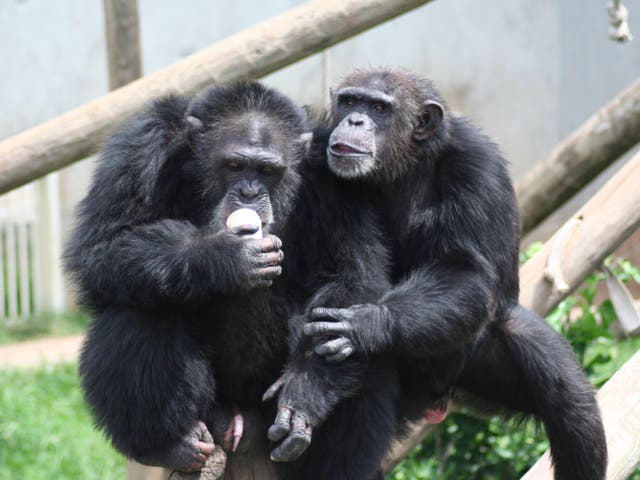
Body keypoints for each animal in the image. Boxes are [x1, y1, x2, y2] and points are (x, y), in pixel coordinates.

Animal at [65, 80, 396, 478]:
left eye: (267, 170)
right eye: (234, 165)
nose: (250, 193)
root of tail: (239, 418)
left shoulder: (336, 181)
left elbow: (353, 277)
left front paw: (304, 391)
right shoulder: (139, 148)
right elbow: (104, 247)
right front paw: (224, 255)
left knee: (360, 339)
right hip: (212, 409)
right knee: (139, 309)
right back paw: (169, 445)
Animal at [278, 68, 604, 480]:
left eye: (379, 108)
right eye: (350, 101)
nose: (355, 120)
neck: (404, 164)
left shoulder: (477, 167)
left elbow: (464, 267)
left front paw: (367, 324)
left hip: (477, 359)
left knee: (569, 398)